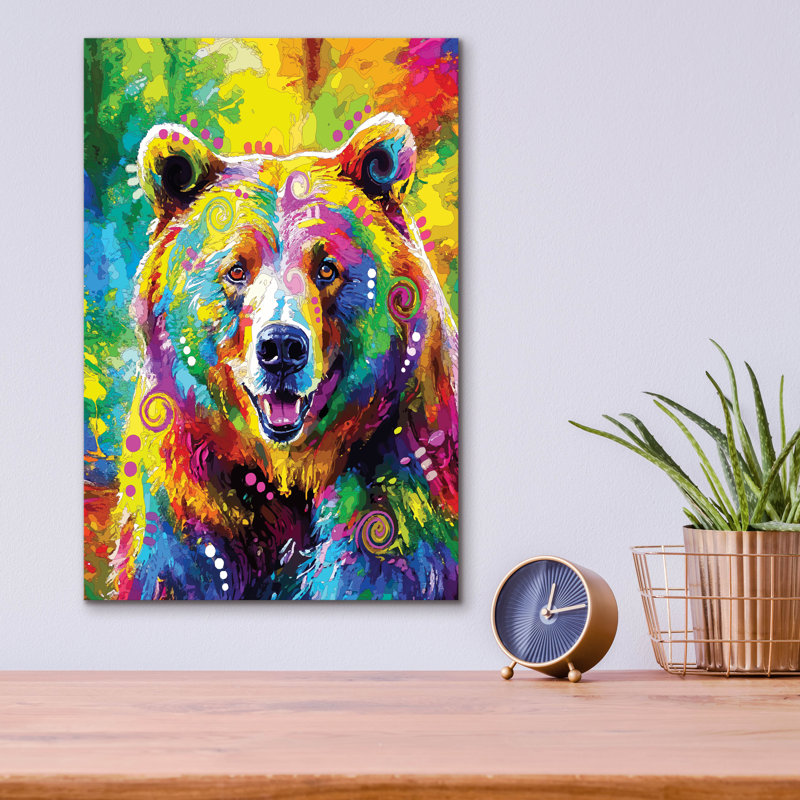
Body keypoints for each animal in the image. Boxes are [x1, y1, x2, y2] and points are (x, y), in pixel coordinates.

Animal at [107, 112, 459, 600]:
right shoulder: (188, 508)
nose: (281, 348)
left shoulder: (401, 479)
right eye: (236, 269)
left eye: (326, 267)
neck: (289, 472)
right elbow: (180, 566)